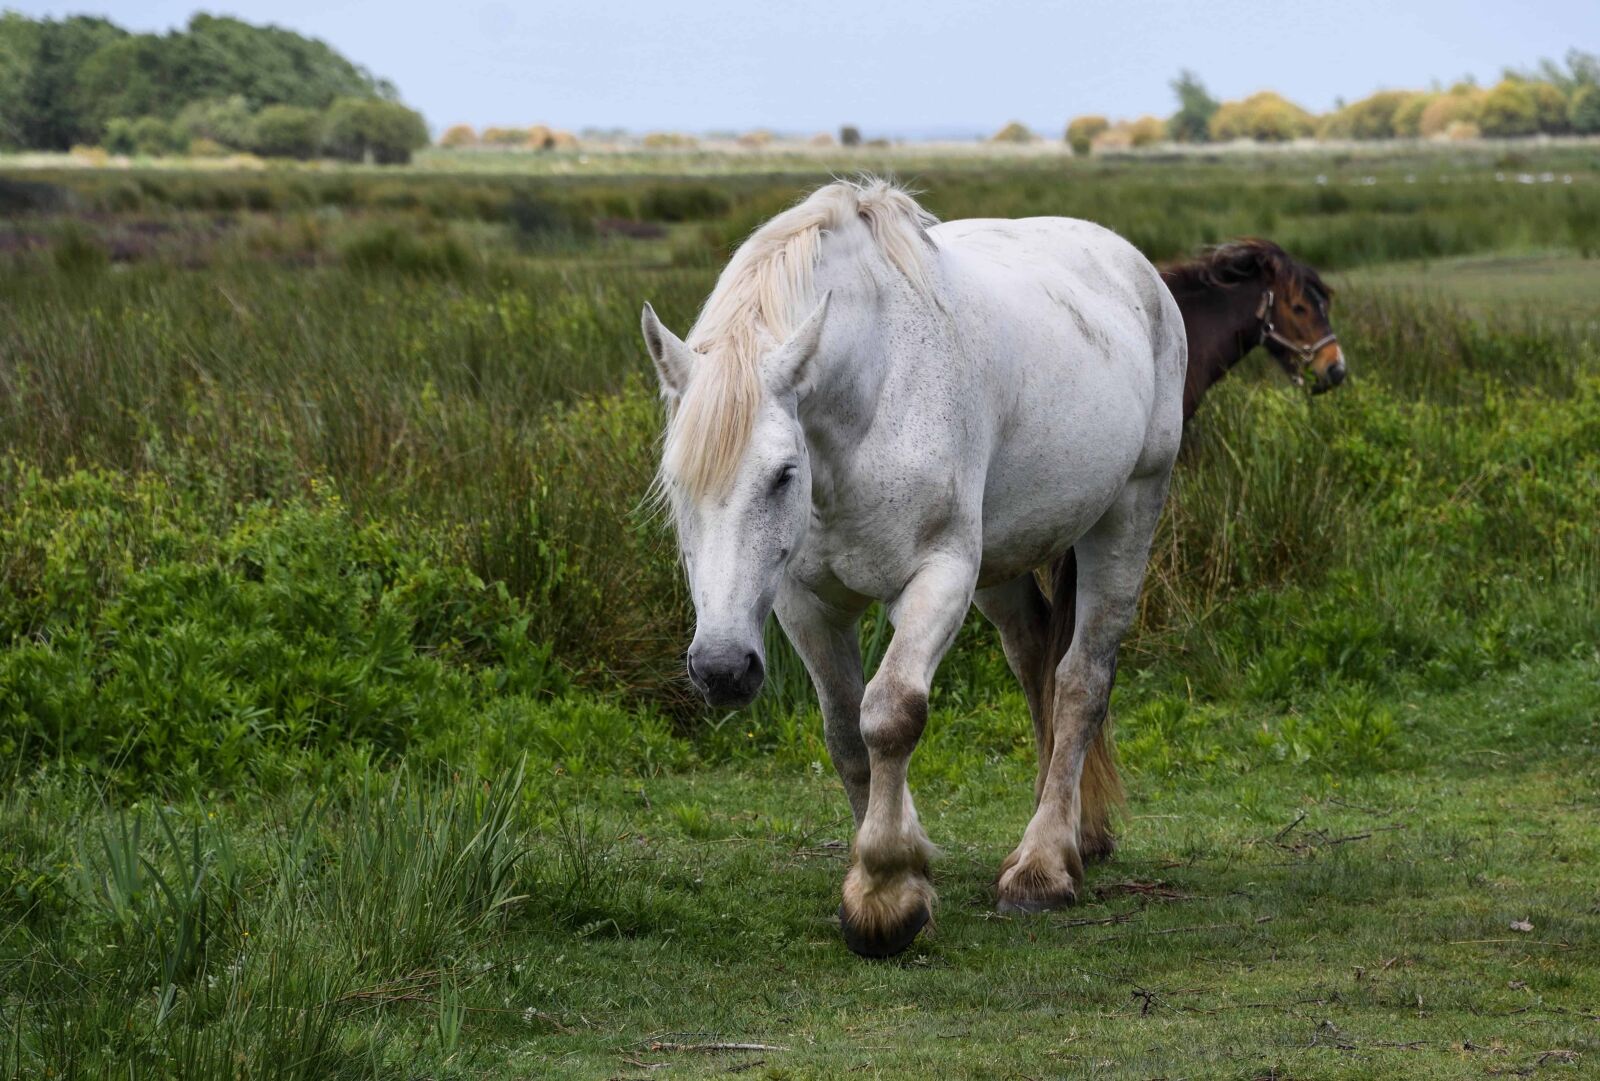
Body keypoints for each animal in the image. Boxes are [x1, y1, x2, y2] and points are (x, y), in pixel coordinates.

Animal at [640, 178, 1186, 957]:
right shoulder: (806, 603)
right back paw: (1073, 832)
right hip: (1004, 564)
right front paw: (896, 870)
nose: (720, 669)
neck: (873, 398)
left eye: (783, 474)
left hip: (1128, 515)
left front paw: (885, 895)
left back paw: (1043, 865)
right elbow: (846, 733)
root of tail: (1133, 265)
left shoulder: (938, 578)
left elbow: (893, 713)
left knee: (1081, 681)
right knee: (1035, 664)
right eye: (676, 482)